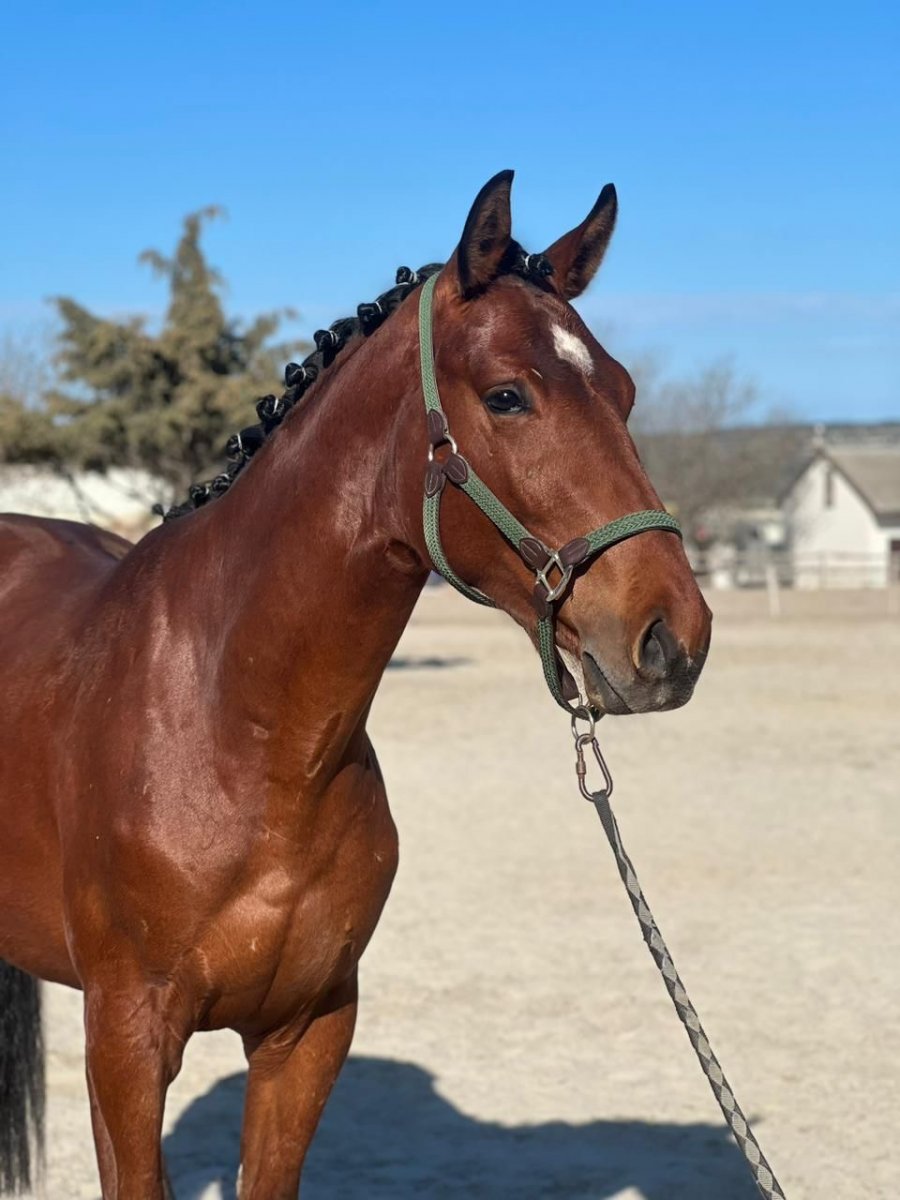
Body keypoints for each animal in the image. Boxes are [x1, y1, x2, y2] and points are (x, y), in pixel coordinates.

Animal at [0, 170, 711, 1199]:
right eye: (507, 396)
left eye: (622, 391)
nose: (673, 638)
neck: (243, 733)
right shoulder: (125, 1044)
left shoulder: (308, 1033)